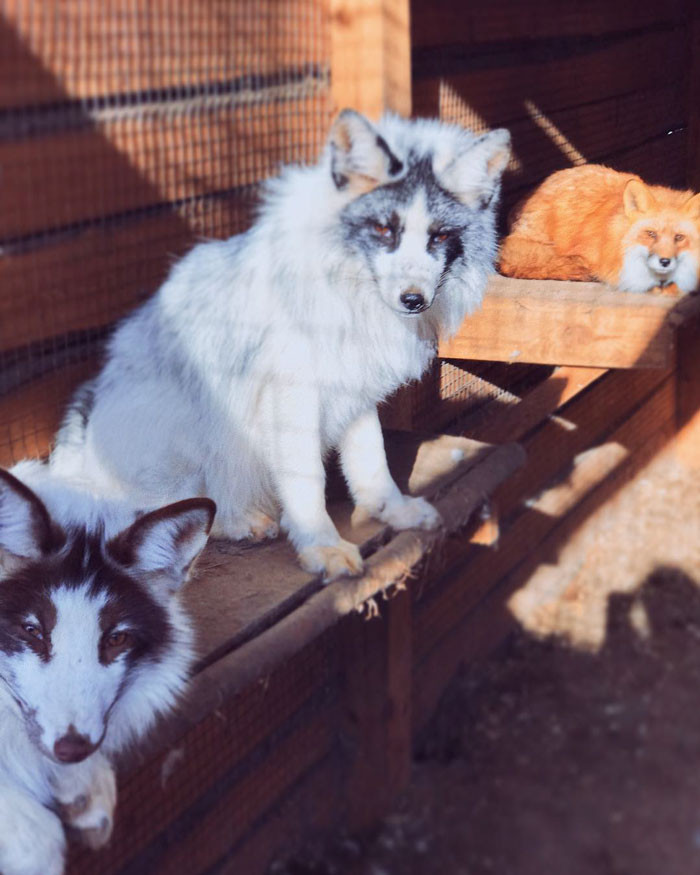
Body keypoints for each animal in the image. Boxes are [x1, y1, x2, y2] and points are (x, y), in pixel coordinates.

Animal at [51, 109, 511, 582]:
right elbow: (308, 482)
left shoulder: (356, 388)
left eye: (440, 237)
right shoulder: (292, 396)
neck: (351, 295)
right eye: (384, 229)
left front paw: (392, 511)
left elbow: (372, 462)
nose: (414, 300)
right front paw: (321, 546)